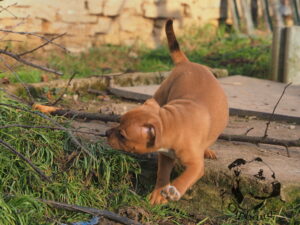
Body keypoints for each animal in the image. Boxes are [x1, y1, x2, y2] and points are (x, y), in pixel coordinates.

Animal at [106, 19, 229, 205]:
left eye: (122, 135)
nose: (106, 133)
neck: (171, 121)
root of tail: (186, 63)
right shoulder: (165, 156)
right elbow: (162, 174)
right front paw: (158, 193)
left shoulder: (196, 165)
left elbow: (186, 177)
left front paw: (174, 191)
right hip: (161, 94)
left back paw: (207, 150)